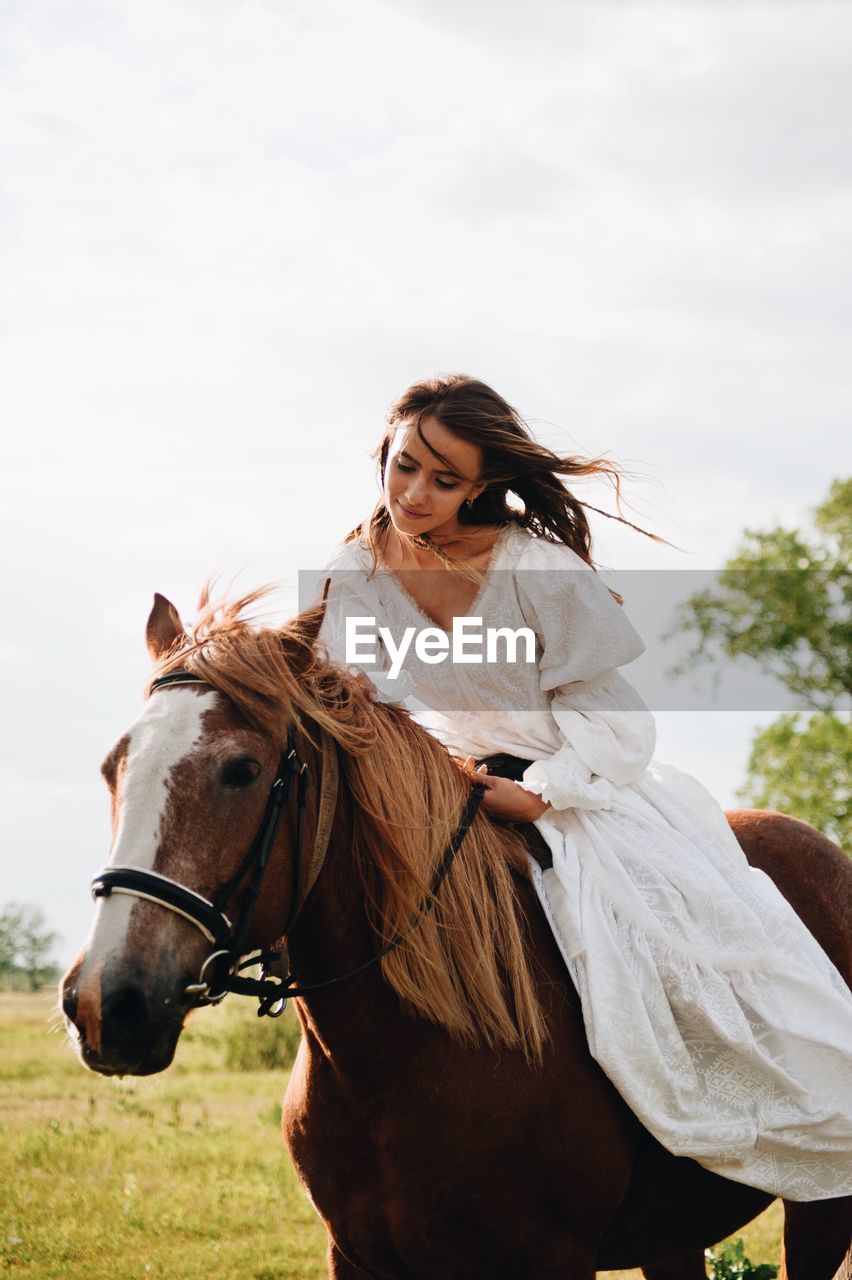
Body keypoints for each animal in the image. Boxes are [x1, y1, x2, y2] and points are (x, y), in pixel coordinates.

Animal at [63, 588, 849, 1280]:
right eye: (112, 768)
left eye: (243, 770)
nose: (106, 1003)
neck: (391, 1060)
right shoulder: (355, 1257)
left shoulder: (550, 1261)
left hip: (822, 1206)